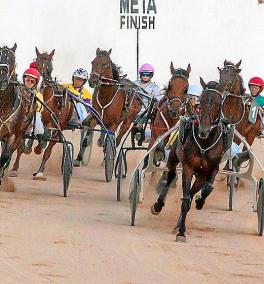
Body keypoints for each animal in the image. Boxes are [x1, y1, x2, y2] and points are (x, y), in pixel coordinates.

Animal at [0, 43, 37, 186]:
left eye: (12, 60)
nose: (2, 79)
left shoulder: (12, 134)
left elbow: (5, 156)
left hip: (20, 134)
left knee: (11, 153)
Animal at [151, 80, 225, 242]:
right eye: (200, 102)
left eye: (218, 104)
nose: (203, 130)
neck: (204, 143)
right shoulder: (188, 167)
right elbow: (185, 200)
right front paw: (181, 233)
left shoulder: (212, 169)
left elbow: (207, 189)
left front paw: (199, 202)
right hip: (173, 156)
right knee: (170, 176)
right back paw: (158, 205)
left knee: (193, 190)